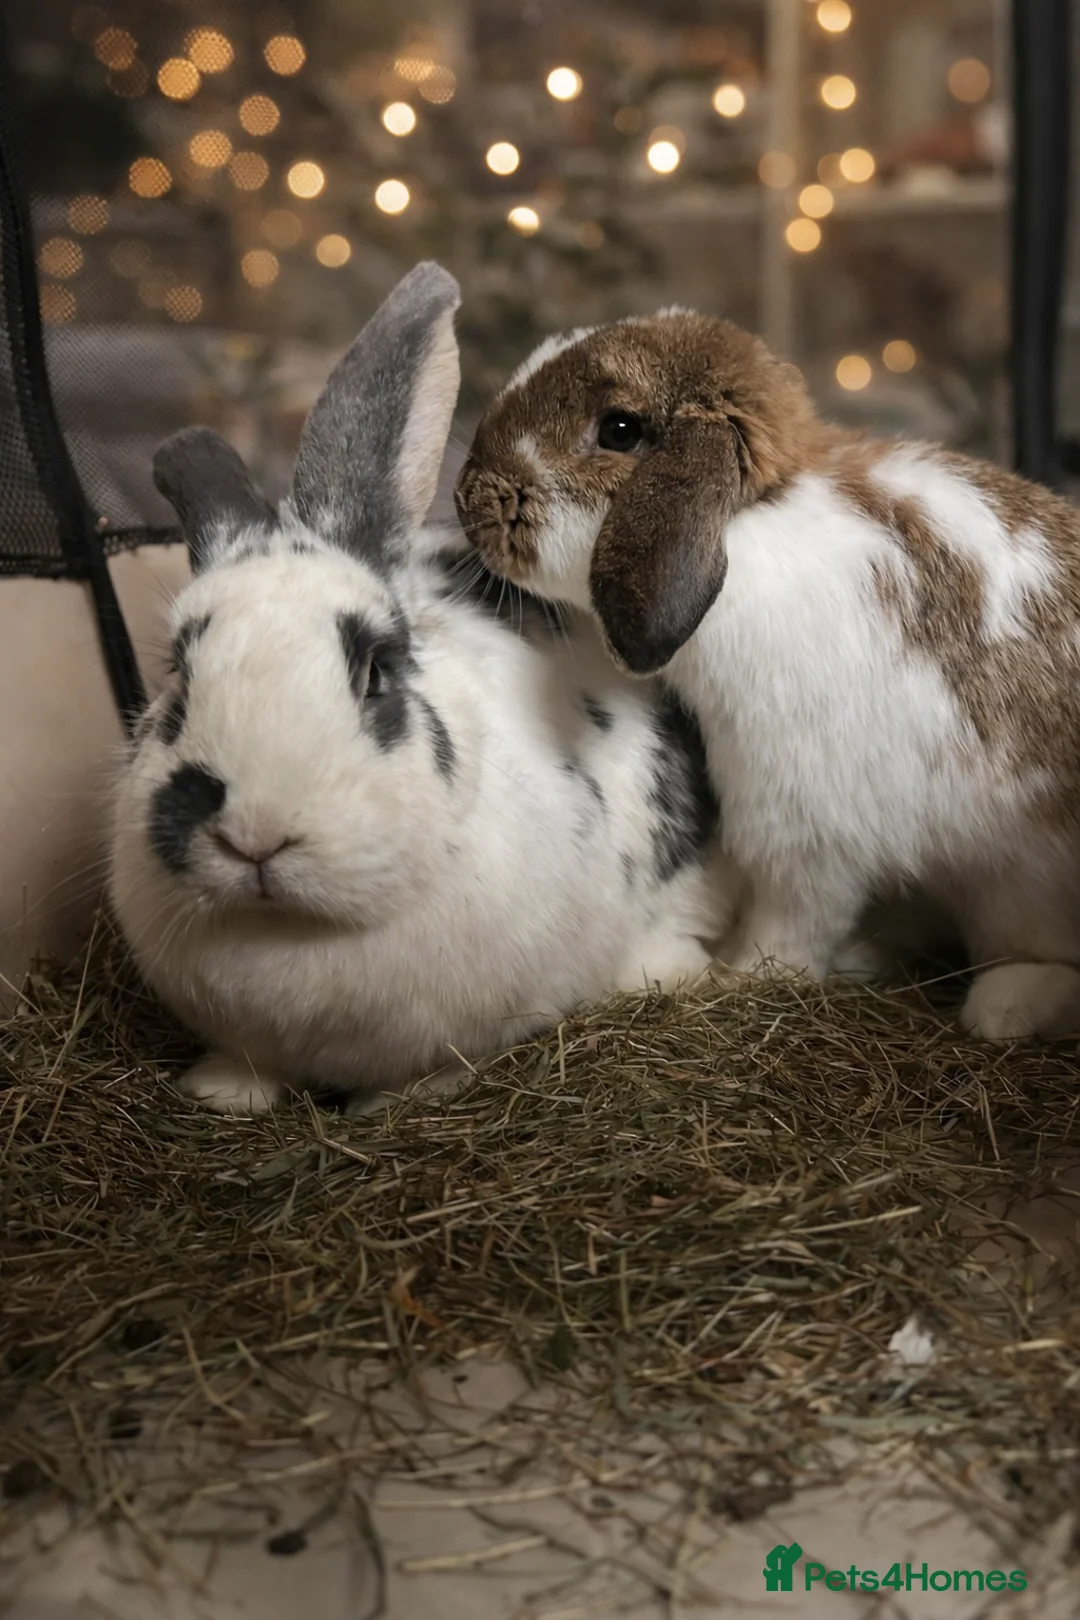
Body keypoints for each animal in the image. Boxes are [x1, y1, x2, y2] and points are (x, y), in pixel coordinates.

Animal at [108, 265, 739, 1117]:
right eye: (178, 675)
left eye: (375, 671)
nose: (256, 835)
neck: (295, 931)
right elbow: (246, 1063)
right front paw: (221, 1094)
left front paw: (389, 1108)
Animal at [454, 305, 1080, 1042]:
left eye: (619, 429)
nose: (467, 497)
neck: (751, 525)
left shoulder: (803, 819)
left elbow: (793, 919)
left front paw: (739, 975)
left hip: (1016, 888)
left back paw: (1004, 1006)